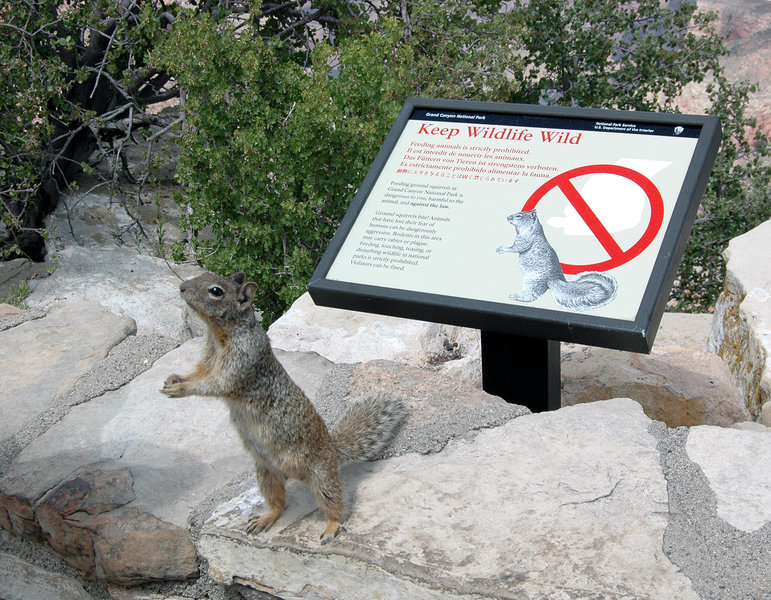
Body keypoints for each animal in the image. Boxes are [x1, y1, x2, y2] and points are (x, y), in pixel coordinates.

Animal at [161, 272, 408, 544]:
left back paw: (331, 526)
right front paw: (174, 379)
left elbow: (215, 385)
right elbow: (197, 374)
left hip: (321, 477)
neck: (218, 336)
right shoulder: (207, 361)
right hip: (266, 472)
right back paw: (265, 518)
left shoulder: (242, 364)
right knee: (279, 503)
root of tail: (333, 451)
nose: (182, 287)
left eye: (216, 291)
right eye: (202, 276)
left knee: (335, 503)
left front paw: (181, 389)